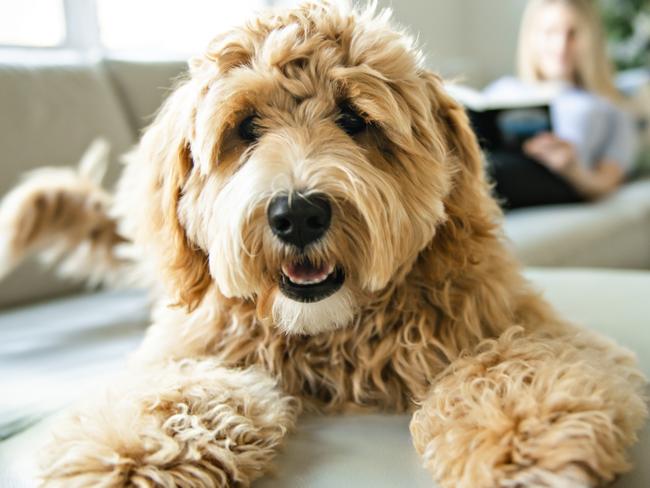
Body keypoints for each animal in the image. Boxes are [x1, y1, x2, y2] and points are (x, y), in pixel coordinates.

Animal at [0, 1, 644, 486]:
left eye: (355, 120)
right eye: (245, 128)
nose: (298, 215)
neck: (333, 337)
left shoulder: (519, 322)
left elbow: (512, 365)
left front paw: (525, 441)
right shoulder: (190, 348)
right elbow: (175, 392)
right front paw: (129, 455)